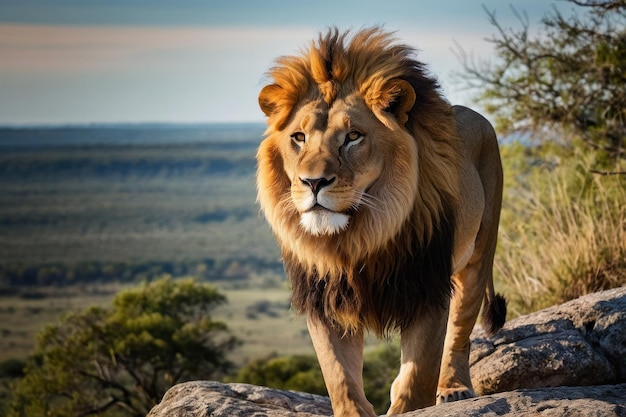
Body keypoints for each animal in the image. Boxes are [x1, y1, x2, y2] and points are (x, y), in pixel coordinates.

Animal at [256, 27, 504, 414]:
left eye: (353, 136)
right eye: (298, 137)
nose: (313, 182)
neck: (359, 236)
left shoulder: (426, 286)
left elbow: (418, 376)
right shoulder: (324, 298)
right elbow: (339, 376)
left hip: (478, 255)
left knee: (460, 332)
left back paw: (454, 388)